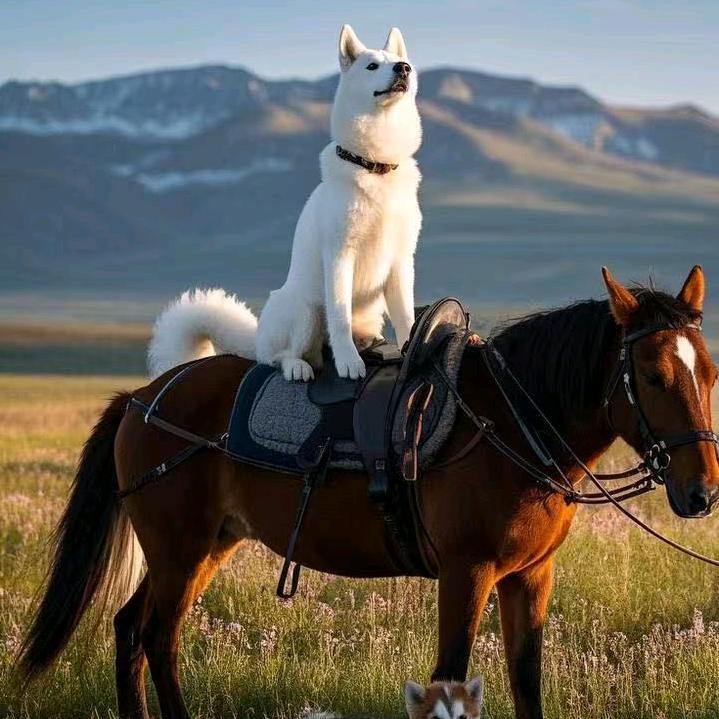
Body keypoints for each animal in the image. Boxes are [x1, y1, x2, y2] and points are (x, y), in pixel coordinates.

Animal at [17, 265, 719, 719]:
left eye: (710, 372)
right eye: (652, 375)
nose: (702, 494)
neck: (511, 422)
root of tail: (142, 398)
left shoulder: (530, 576)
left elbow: (527, 683)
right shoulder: (467, 571)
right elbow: (449, 679)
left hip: (205, 546)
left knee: (131, 630)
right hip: (179, 549)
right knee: (158, 638)